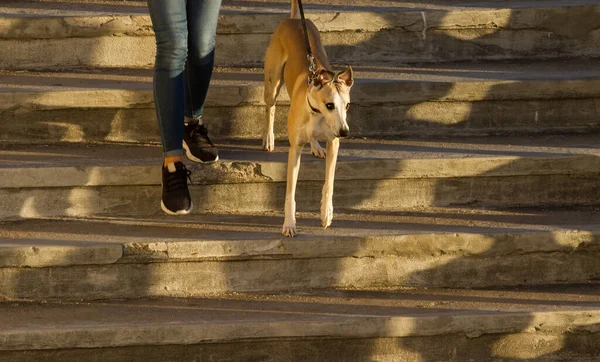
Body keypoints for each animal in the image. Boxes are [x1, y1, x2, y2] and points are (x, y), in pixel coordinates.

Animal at [262, 0, 352, 238]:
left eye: (347, 105)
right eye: (330, 105)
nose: (345, 132)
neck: (317, 114)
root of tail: (294, 19)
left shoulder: (334, 143)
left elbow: (329, 183)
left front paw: (326, 213)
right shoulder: (295, 149)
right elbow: (290, 193)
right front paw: (289, 224)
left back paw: (316, 146)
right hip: (272, 82)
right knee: (270, 107)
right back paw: (269, 139)